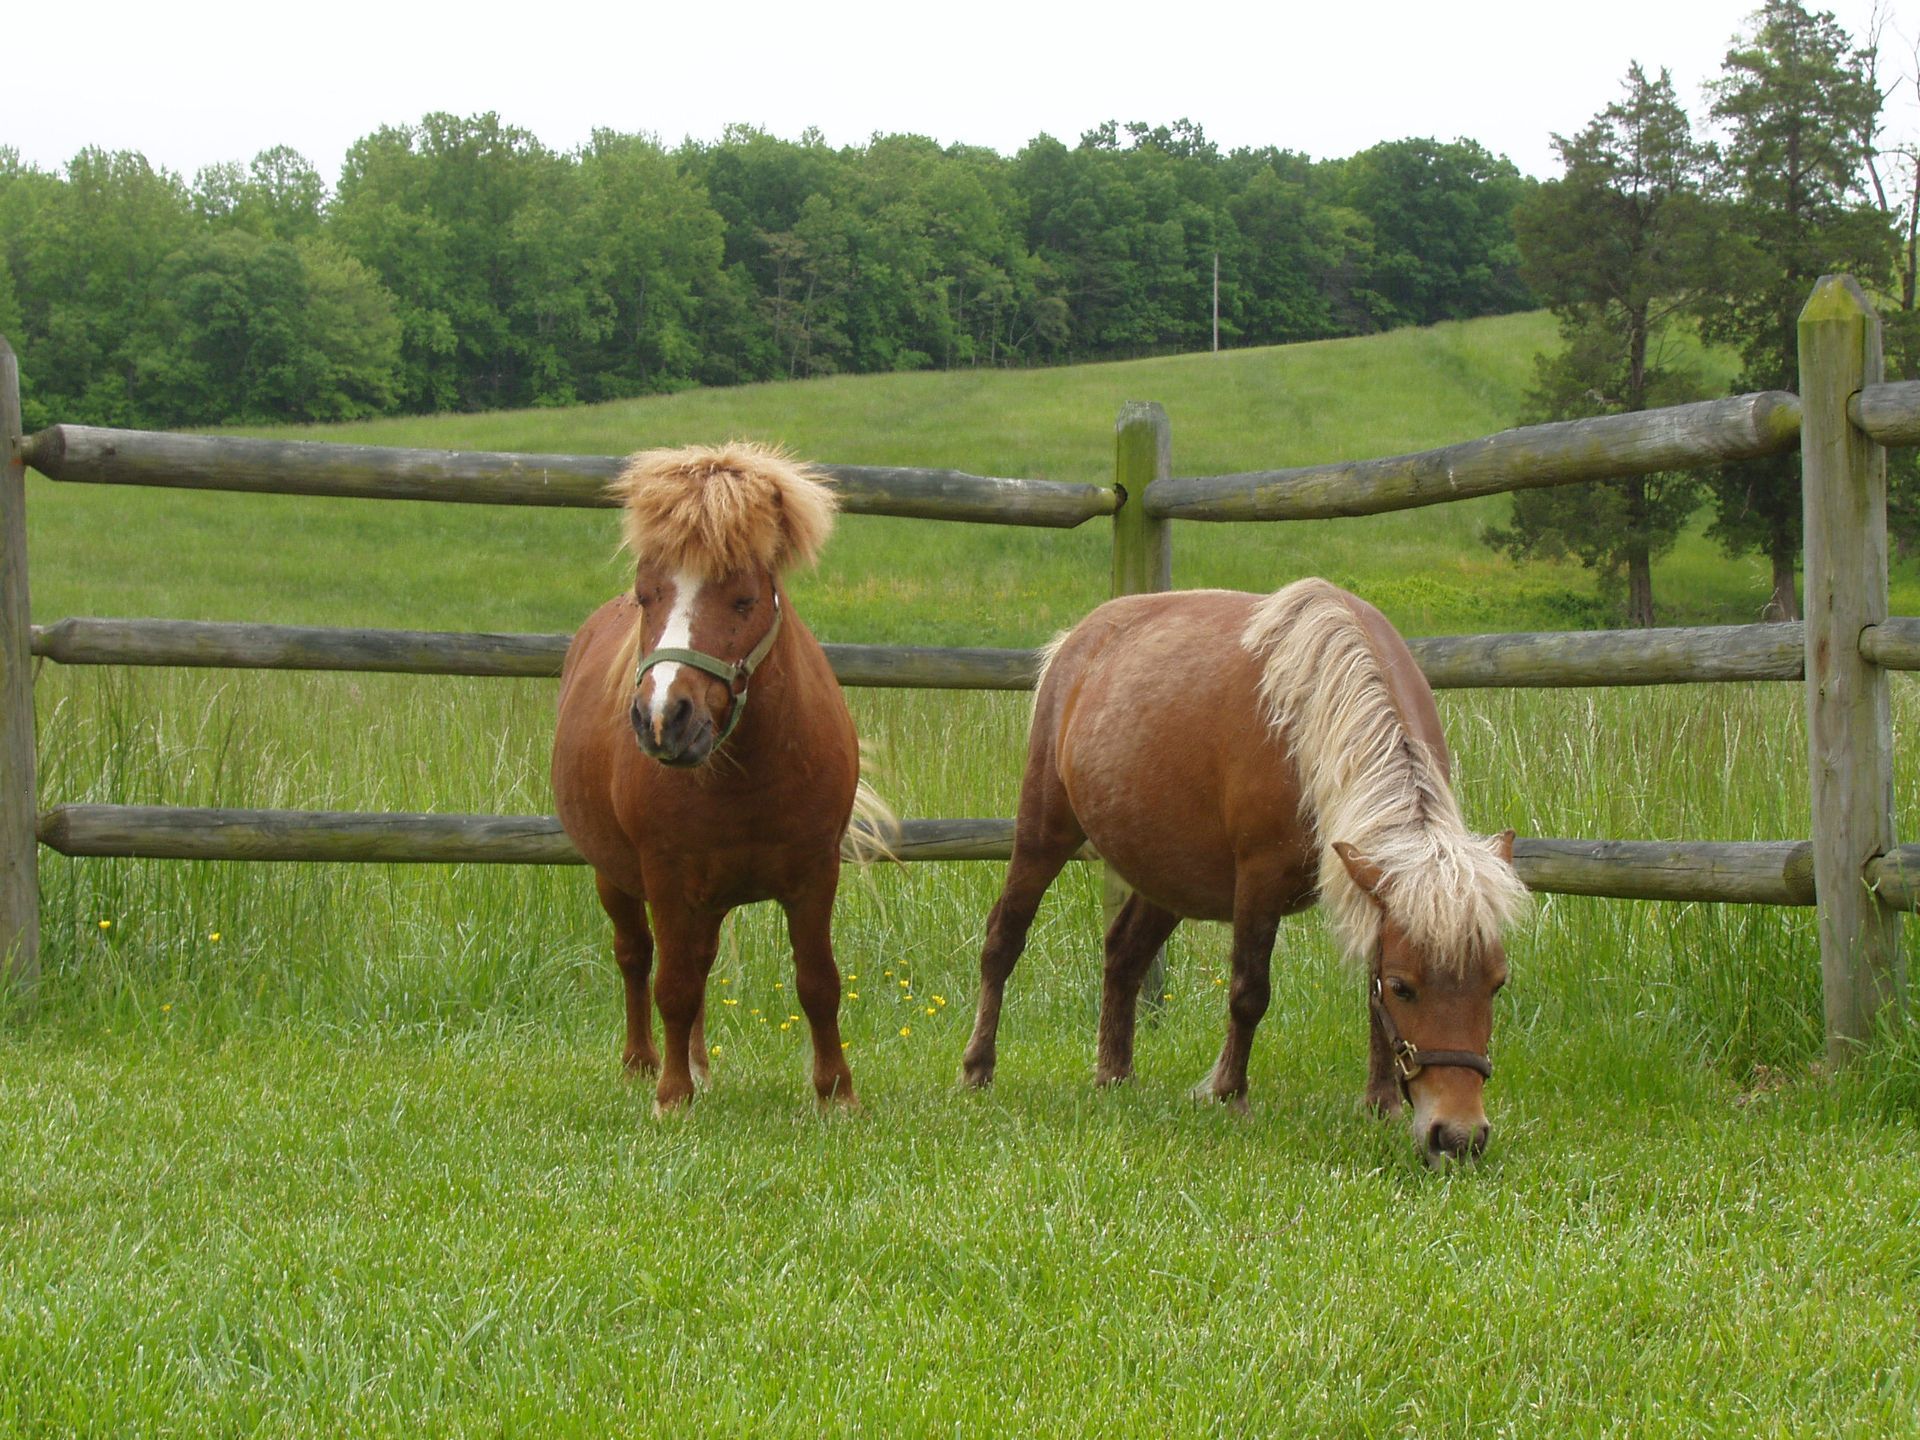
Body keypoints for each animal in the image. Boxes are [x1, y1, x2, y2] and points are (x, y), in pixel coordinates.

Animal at [552, 441, 871, 1113]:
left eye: (744, 600)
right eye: (646, 596)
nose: (663, 717)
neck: (746, 776)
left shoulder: (815, 875)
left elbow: (818, 983)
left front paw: (836, 1092)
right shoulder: (669, 879)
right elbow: (672, 985)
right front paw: (672, 1097)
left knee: (698, 961)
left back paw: (697, 1064)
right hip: (616, 877)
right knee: (637, 958)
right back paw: (645, 1064)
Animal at [959, 578, 1528, 1163]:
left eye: (1497, 984)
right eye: (1405, 988)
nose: (1457, 1136)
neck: (1310, 719)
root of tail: (1079, 639)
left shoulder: (1368, 894)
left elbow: (1370, 1009)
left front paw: (1382, 1104)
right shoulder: (1260, 880)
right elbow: (1249, 992)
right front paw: (1229, 1094)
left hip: (1169, 877)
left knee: (1123, 954)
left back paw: (1115, 1075)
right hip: (1044, 832)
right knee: (1003, 939)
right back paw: (978, 1068)